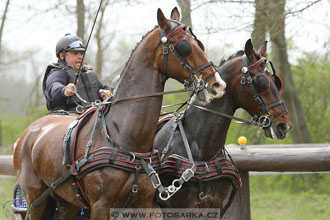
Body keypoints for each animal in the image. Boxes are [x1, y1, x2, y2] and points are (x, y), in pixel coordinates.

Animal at [14, 7, 228, 220]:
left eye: (199, 43)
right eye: (184, 46)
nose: (218, 84)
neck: (124, 137)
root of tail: (27, 134)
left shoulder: (146, 203)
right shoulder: (100, 206)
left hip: (66, 200)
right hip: (36, 198)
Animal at [153, 38, 292, 217]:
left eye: (276, 82)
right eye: (262, 83)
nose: (284, 125)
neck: (199, 149)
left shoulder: (216, 205)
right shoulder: (177, 208)